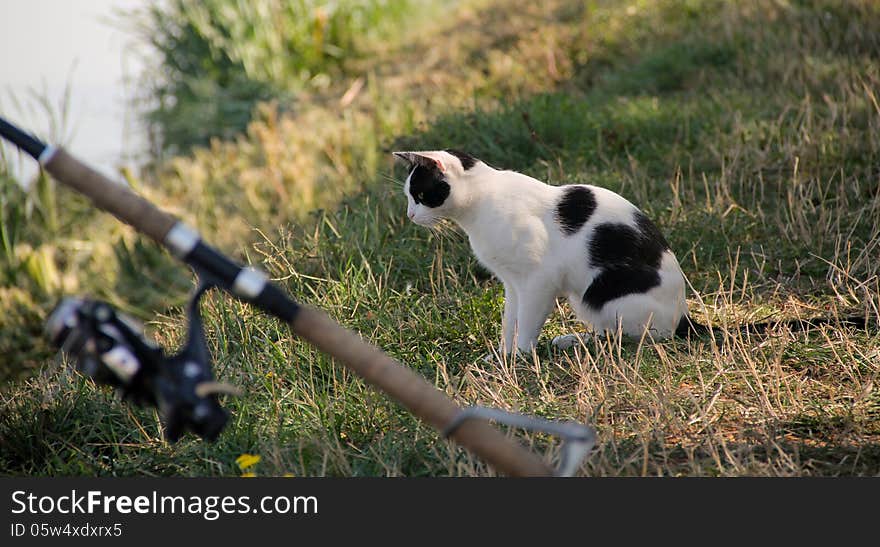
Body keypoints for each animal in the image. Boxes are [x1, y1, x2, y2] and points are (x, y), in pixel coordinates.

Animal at [396, 150, 692, 356]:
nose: (410, 215)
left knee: (631, 336)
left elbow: (527, 321)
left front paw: (521, 355)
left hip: (603, 296)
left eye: (420, 195)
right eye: (408, 197)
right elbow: (510, 320)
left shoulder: (539, 280)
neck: (480, 203)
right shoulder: (512, 283)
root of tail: (684, 317)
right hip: (583, 300)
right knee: (605, 332)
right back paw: (572, 340)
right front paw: (504, 355)